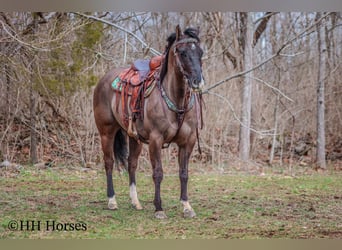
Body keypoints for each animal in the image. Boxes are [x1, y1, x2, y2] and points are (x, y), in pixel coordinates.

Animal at [93, 24, 203, 218]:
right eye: (182, 52)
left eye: (201, 52)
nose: (198, 81)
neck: (176, 99)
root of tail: (104, 79)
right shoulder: (155, 140)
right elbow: (157, 173)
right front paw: (159, 208)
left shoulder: (187, 142)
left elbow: (183, 173)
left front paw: (187, 206)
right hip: (106, 132)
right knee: (109, 163)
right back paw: (112, 200)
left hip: (134, 137)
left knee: (131, 164)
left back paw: (135, 202)